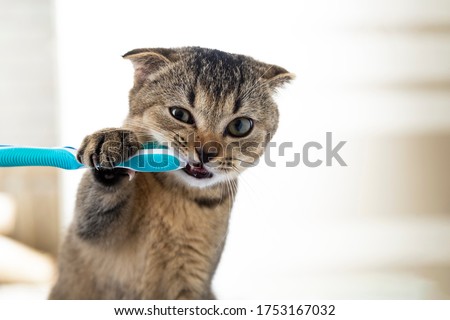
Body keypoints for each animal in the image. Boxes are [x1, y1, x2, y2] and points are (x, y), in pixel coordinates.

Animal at [49, 46, 294, 298]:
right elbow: (95, 210)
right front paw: (112, 142)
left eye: (240, 126)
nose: (206, 152)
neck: (179, 196)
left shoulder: (193, 278)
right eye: (180, 114)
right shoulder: (89, 232)